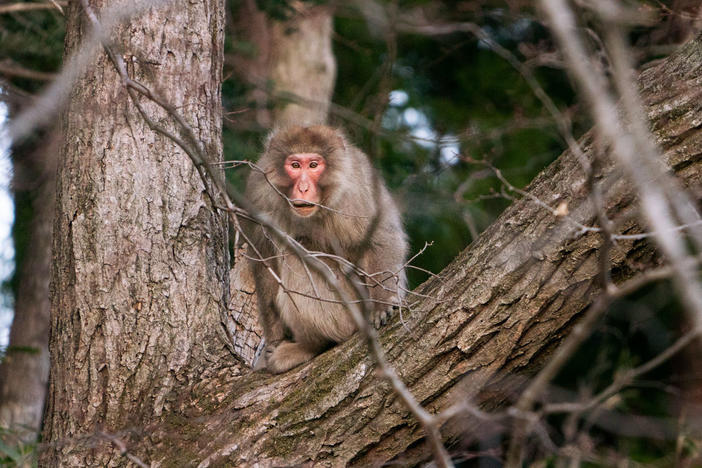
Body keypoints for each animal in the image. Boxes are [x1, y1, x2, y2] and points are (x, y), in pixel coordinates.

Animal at [246, 124, 408, 372]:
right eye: (295, 165)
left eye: (314, 165)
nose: (303, 188)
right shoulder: (259, 189)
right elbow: (264, 258)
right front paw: (274, 338)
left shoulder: (355, 187)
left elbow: (380, 235)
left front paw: (382, 301)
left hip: (351, 308)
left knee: (297, 254)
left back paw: (311, 346)